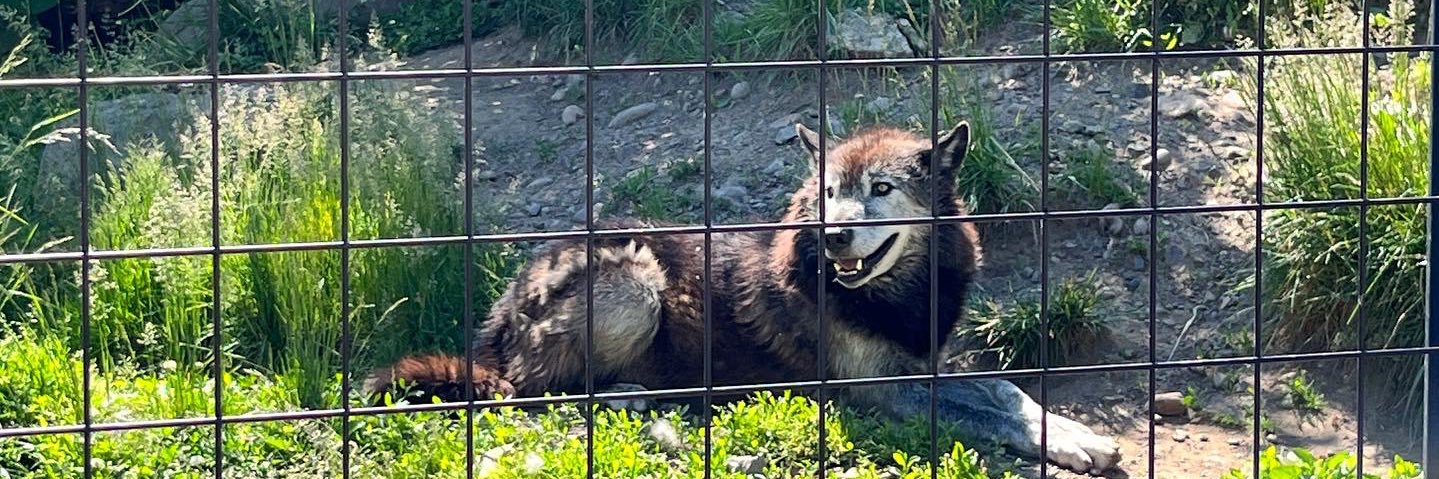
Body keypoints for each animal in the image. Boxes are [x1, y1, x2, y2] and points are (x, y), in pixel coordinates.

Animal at [363, 121, 1122, 474]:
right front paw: (1074, 445)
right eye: (828, 193)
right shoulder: (879, 391)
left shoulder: (920, 364)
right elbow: (985, 410)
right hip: (636, 284)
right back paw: (627, 394)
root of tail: (497, 315)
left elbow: (1007, 392)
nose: (834, 234)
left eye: (880, 189)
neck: (889, 294)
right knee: (527, 390)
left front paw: (1077, 433)